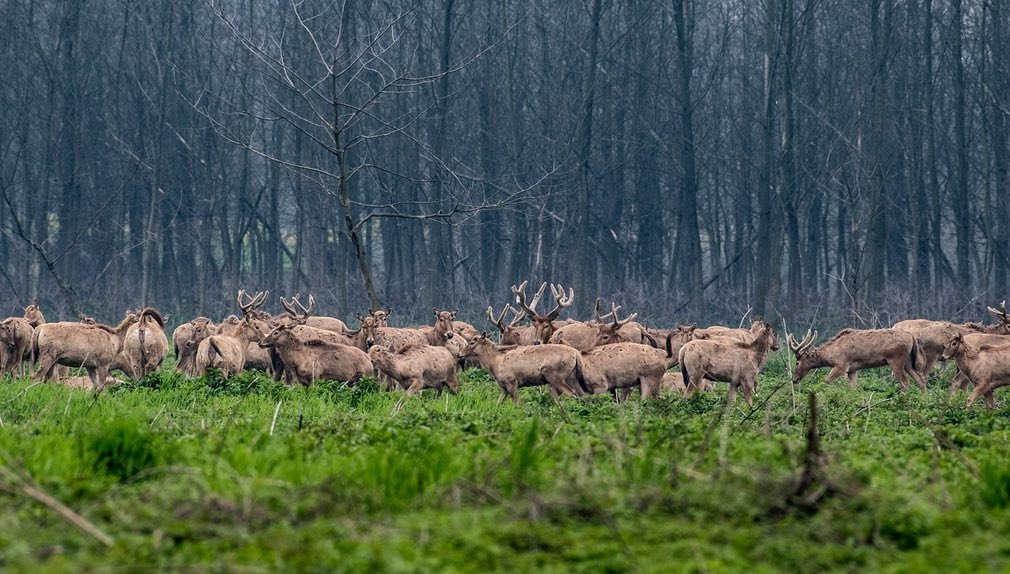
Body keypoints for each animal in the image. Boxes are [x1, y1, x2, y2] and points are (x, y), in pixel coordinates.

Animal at [783, 327, 925, 390]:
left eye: (797, 362)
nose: (794, 379)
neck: (830, 354)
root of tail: (911, 337)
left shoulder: (842, 365)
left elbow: (826, 380)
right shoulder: (852, 370)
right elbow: (853, 388)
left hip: (896, 360)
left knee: (905, 383)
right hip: (908, 362)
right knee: (920, 380)